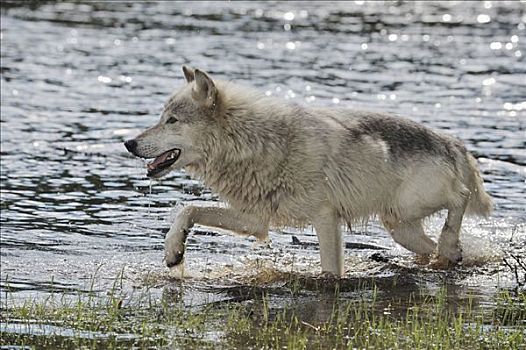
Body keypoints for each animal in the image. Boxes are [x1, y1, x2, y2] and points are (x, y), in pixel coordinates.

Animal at [124, 66, 496, 276]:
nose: (129, 143)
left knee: (460, 198)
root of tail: (453, 142)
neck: (257, 142)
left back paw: (450, 245)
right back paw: (449, 256)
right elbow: (188, 210)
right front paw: (174, 251)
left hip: (410, 206)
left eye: (172, 120)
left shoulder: (325, 217)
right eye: (161, 117)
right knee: (432, 246)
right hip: (400, 228)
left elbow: (330, 270)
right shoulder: (255, 220)